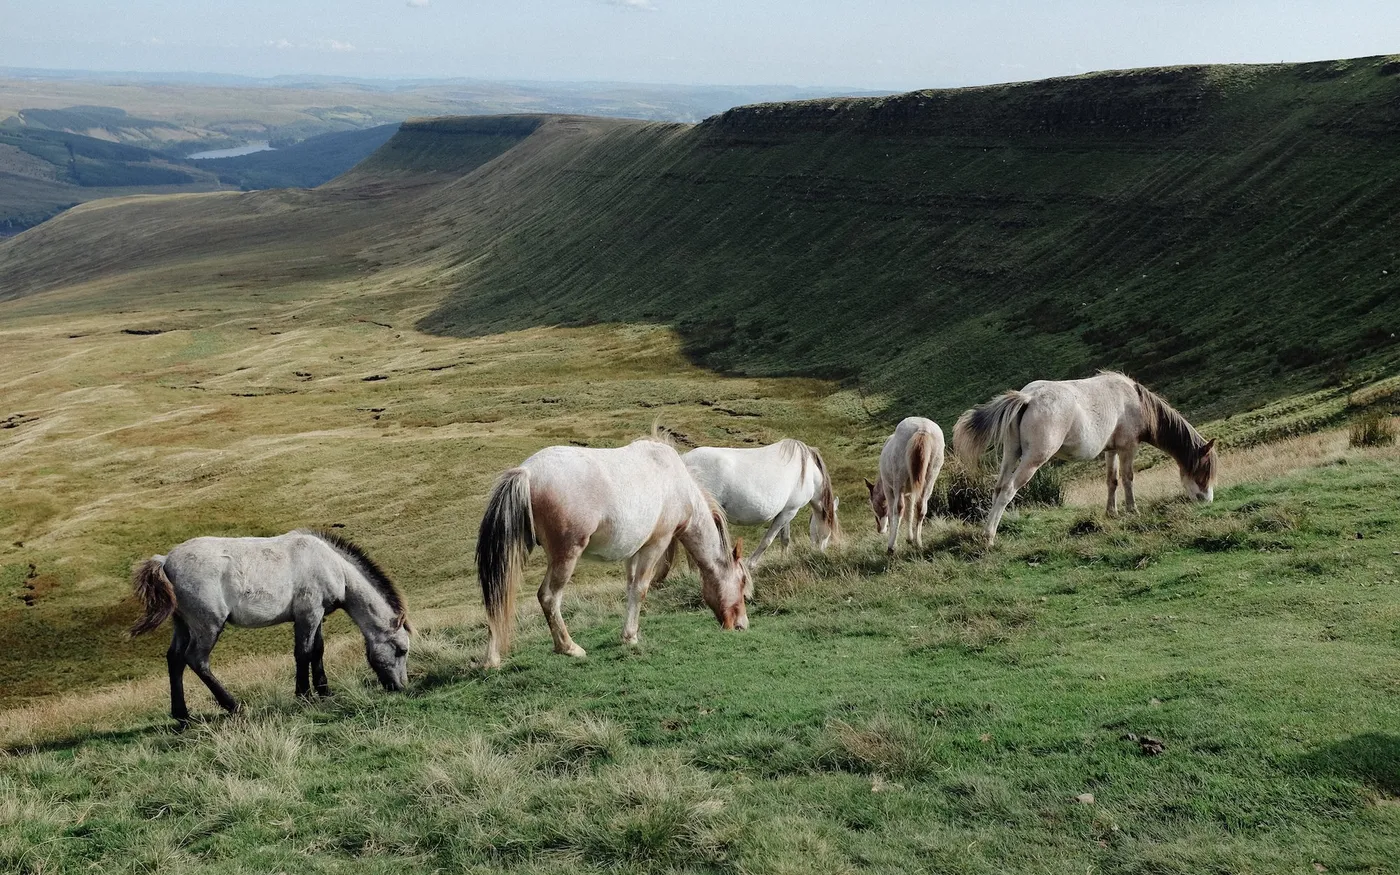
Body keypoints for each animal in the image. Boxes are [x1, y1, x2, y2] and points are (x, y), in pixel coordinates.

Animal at [130, 529, 412, 727]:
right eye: (401, 650)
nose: (401, 687)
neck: (331, 565)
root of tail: (165, 560)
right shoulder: (308, 614)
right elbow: (303, 653)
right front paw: (304, 695)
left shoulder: (316, 615)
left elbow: (318, 650)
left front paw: (324, 691)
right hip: (207, 625)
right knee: (196, 660)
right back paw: (234, 706)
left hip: (182, 625)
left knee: (175, 660)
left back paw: (182, 716)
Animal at [476, 434, 750, 668]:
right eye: (742, 581)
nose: (742, 625)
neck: (678, 485)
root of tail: (527, 472)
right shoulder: (655, 544)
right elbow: (640, 589)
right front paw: (630, 637)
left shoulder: (633, 551)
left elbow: (630, 587)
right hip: (566, 556)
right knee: (549, 597)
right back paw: (569, 647)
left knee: (498, 597)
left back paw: (492, 661)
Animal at [682, 438, 840, 582]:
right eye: (830, 529)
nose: (819, 555)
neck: (809, 473)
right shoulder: (790, 512)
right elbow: (767, 540)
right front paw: (750, 565)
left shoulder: (786, 511)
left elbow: (785, 539)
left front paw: (783, 561)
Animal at [864, 417, 945, 553]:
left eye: (873, 506)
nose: (879, 530)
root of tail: (923, 429)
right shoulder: (911, 493)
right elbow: (910, 513)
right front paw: (910, 538)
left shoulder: (888, 489)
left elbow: (892, 513)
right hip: (930, 479)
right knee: (921, 507)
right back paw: (918, 543)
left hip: (899, 481)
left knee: (899, 508)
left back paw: (891, 547)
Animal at [953, 371, 1217, 544]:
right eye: (1204, 470)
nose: (1207, 500)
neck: (1135, 400)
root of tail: (1028, 398)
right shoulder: (1128, 448)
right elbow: (1128, 478)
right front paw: (1132, 510)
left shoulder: (1112, 449)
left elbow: (1112, 480)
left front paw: (1111, 512)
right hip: (1032, 459)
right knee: (1008, 490)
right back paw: (989, 537)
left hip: (1011, 454)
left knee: (999, 488)